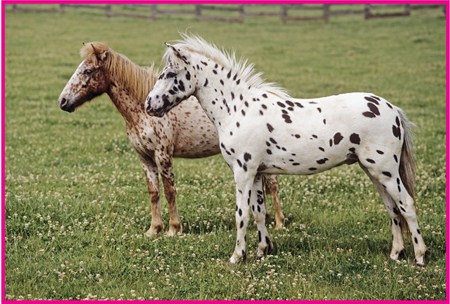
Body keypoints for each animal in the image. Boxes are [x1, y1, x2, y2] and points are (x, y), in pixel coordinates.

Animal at [58, 42, 284, 238]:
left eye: (88, 71)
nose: (63, 101)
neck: (142, 111)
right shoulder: (145, 158)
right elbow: (154, 193)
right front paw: (153, 230)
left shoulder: (163, 155)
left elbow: (169, 191)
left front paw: (174, 229)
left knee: (272, 185)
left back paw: (279, 223)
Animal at [146, 33, 428, 266]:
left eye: (170, 74)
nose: (149, 104)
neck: (238, 109)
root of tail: (392, 109)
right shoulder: (257, 173)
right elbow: (259, 213)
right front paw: (262, 250)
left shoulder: (243, 172)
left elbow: (241, 214)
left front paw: (237, 257)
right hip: (374, 173)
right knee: (392, 208)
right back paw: (396, 253)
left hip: (385, 172)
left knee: (406, 205)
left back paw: (420, 257)